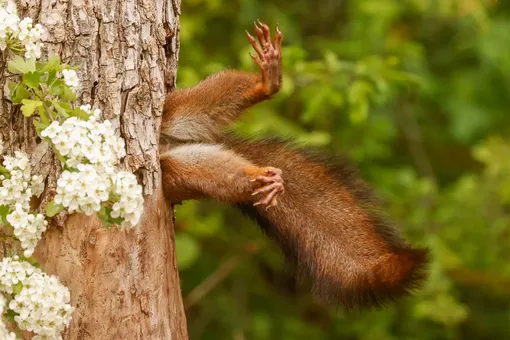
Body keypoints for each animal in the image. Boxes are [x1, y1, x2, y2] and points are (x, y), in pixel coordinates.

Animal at [158, 19, 426, 310]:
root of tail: (167, 145)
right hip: (175, 171)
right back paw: (260, 179)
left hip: (173, 110)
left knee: (205, 102)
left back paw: (267, 83)